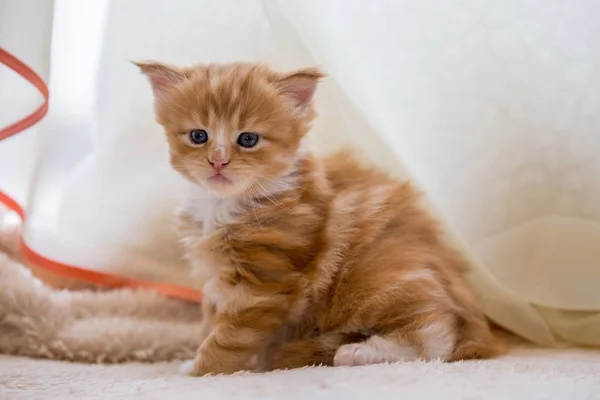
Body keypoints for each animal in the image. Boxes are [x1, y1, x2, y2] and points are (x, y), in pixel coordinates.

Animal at [137, 60, 506, 376]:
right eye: (199, 136)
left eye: (248, 139)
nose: (218, 162)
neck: (223, 205)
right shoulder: (217, 283)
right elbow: (210, 322)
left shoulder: (265, 286)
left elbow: (228, 338)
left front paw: (198, 370)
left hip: (374, 281)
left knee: (436, 335)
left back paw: (356, 352)